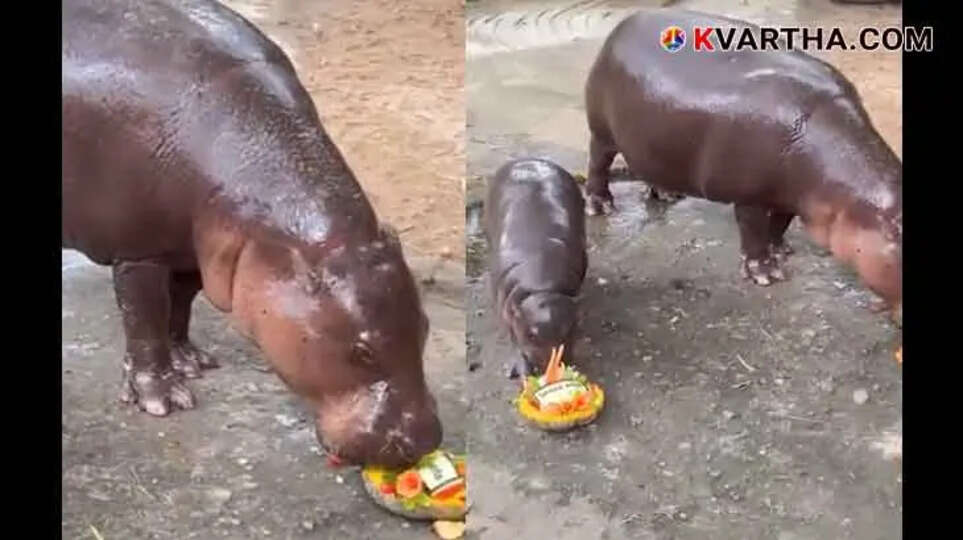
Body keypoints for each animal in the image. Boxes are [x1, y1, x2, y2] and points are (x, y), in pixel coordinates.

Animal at [62, 0, 441, 468]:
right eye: (362, 351)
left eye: (425, 326)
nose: (425, 441)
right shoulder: (139, 251)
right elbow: (145, 321)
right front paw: (164, 399)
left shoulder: (195, 251)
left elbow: (180, 305)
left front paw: (191, 360)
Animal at [486, 159, 588, 378]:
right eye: (531, 335)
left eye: (571, 328)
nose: (553, 367)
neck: (542, 288)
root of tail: (527, 159)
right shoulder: (509, 310)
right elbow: (514, 338)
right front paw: (522, 370)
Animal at [584, 9, 901, 323]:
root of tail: (623, 25)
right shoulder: (750, 196)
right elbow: (753, 230)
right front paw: (766, 274)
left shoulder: (790, 194)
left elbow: (780, 222)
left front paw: (781, 250)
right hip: (602, 131)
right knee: (598, 162)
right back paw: (601, 206)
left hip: (652, 138)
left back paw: (666, 194)